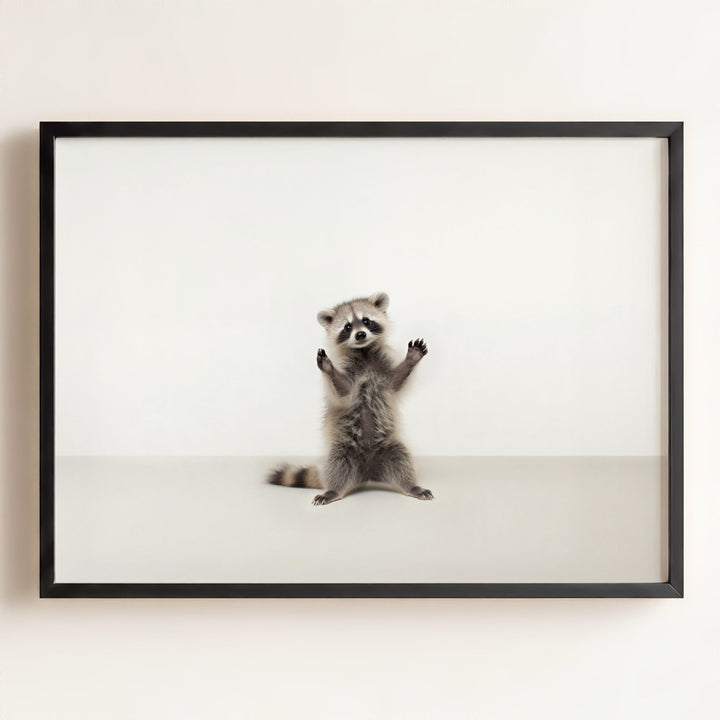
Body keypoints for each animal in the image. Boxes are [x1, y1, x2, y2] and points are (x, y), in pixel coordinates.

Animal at [267, 291, 433, 505]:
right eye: (347, 327)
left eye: (366, 321)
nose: (360, 334)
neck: (364, 352)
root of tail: (368, 474)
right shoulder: (348, 373)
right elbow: (344, 392)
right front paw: (329, 369)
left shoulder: (383, 370)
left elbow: (396, 382)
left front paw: (411, 359)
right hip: (342, 448)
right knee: (337, 465)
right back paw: (333, 490)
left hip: (390, 446)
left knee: (402, 459)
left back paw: (411, 486)